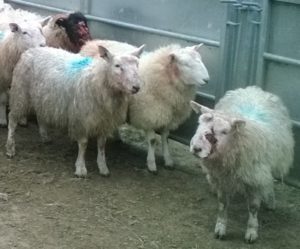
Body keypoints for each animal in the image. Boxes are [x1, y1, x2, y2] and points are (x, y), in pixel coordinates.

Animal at [5, 44, 144, 177]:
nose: (136, 87)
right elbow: (83, 144)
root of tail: (31, 50)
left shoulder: (103, 121)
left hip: (43, 98)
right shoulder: (81, 119)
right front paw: (81, 168)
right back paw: (10, 148)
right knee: (12, 120)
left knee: (40, 115)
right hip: (20, 93)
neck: (99, 81)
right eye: (117, 65)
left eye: (137, 65)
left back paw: (45, 137)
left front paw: (103, 167)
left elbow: (101, 145)